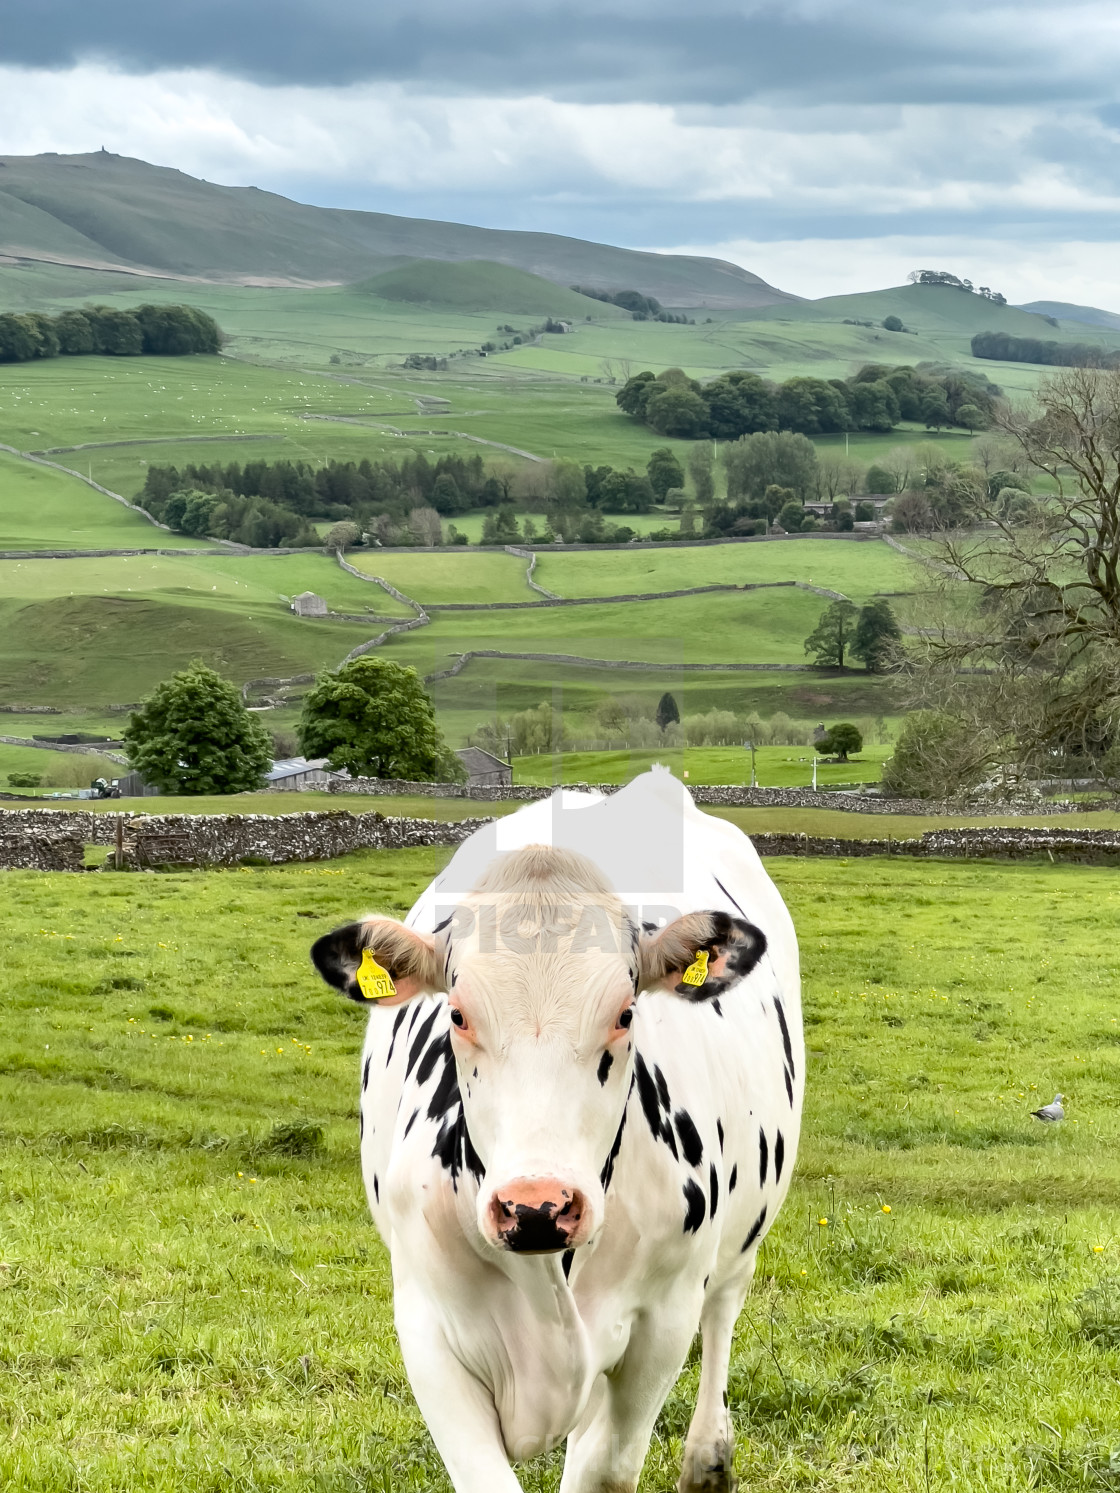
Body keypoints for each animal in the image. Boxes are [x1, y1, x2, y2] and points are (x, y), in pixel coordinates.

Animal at [313, 770, 806, 1493]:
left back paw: (708, 1459)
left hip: (740, 1238)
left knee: (724, 1309)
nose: (536, 1206)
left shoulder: (660, 1325)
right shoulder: (428, 1327)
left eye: (626, 1012)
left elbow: (605, 1466)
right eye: (457, 1013)